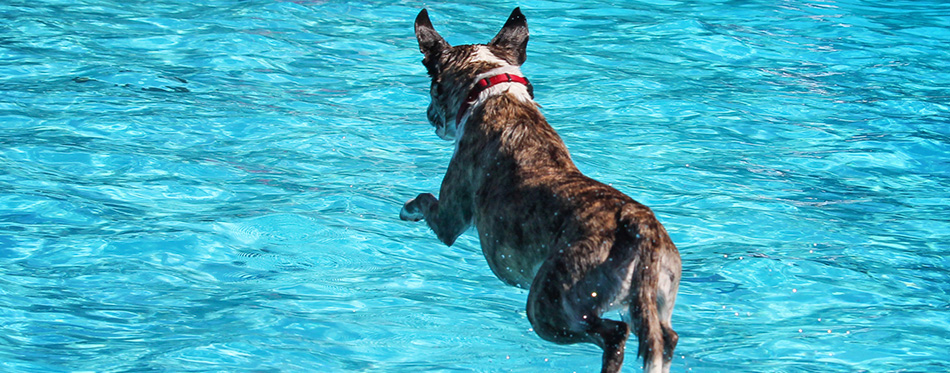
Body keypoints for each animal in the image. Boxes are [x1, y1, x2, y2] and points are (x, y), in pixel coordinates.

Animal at [398, 7, 680, 370]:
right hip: (655, 294)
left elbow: (425, 201)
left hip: (549, 304)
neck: (492, 89)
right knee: (664, 338)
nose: (429, 115)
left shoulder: (449, 216)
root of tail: (637, 224)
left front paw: (408, 209)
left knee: (614, 333)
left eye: (433, 88)